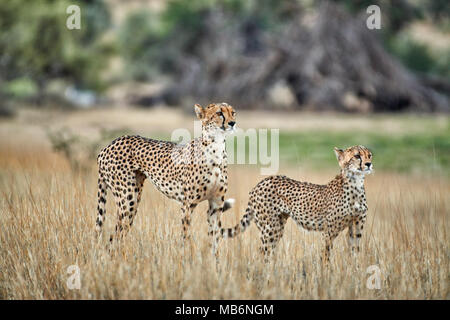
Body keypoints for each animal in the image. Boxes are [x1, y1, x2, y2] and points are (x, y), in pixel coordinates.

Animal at [95, 102, 236, 255]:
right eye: (219, 113)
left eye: (233, 112)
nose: (232, 123)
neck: (216, 148)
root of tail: (107, 147)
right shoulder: (188, 204)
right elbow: (186, 236)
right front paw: (188, 257)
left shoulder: (216, 204)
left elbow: (214, 239)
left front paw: (214, 260)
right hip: (127, 200)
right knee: (114, 236)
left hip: (134, 197)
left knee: (118, 234)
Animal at [221, 146, 372, 262]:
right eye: (357, 156)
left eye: (369, 155)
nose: (369, 164)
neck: (356, 183)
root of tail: (261, 182)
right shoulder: (328, 231)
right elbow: (326, 254)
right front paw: (326, 274)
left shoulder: (356, 228)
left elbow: (354, 252)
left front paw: (354, 271)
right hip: (270, 228)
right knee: (264, 251)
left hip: (277, 226)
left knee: (267, 250)